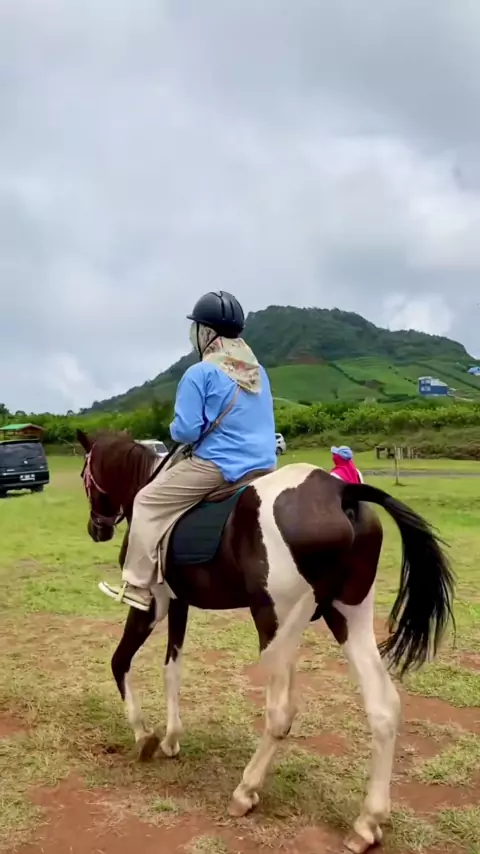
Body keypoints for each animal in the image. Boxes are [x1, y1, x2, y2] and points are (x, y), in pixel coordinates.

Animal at [76, 428, 454, 854]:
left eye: (85, 475)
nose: (97, 528)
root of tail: (341, 493)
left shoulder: (151, 604)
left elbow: (120, 661)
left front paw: (144, 736)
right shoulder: (179, 603)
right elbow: (172, 669)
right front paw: (172, 739)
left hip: (275, 623)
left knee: (281, 713)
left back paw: (245, 791)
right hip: (347, 615)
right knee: (383, 706)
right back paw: (367, 823)